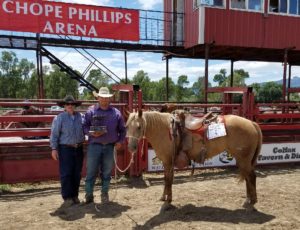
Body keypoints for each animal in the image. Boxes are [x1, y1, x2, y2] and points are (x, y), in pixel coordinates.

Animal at [125, 111, 262, 210]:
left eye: (139, 127)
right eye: (126, 126)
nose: (131, 147)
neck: (165, 130)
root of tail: (251, 123)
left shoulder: (168, 162)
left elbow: (168, 180)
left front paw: (167, 202)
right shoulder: (166, 162)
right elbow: (167, 179)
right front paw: (164, 197)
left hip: (244, 159)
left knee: (251, 177)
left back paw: (252, 201)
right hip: (243, 160)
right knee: (248, 178)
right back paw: (248, 199)